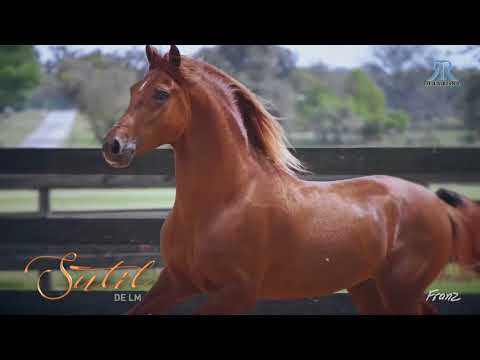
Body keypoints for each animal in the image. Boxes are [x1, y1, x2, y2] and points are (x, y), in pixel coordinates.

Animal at [102, 45, 480, 316]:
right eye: (134, 89)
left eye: (161, 93)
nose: (113, 146)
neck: (223, 202)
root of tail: (438, 205)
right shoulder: (176, 281)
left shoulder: (237, 292)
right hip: (370, 289)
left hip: (401, 291)